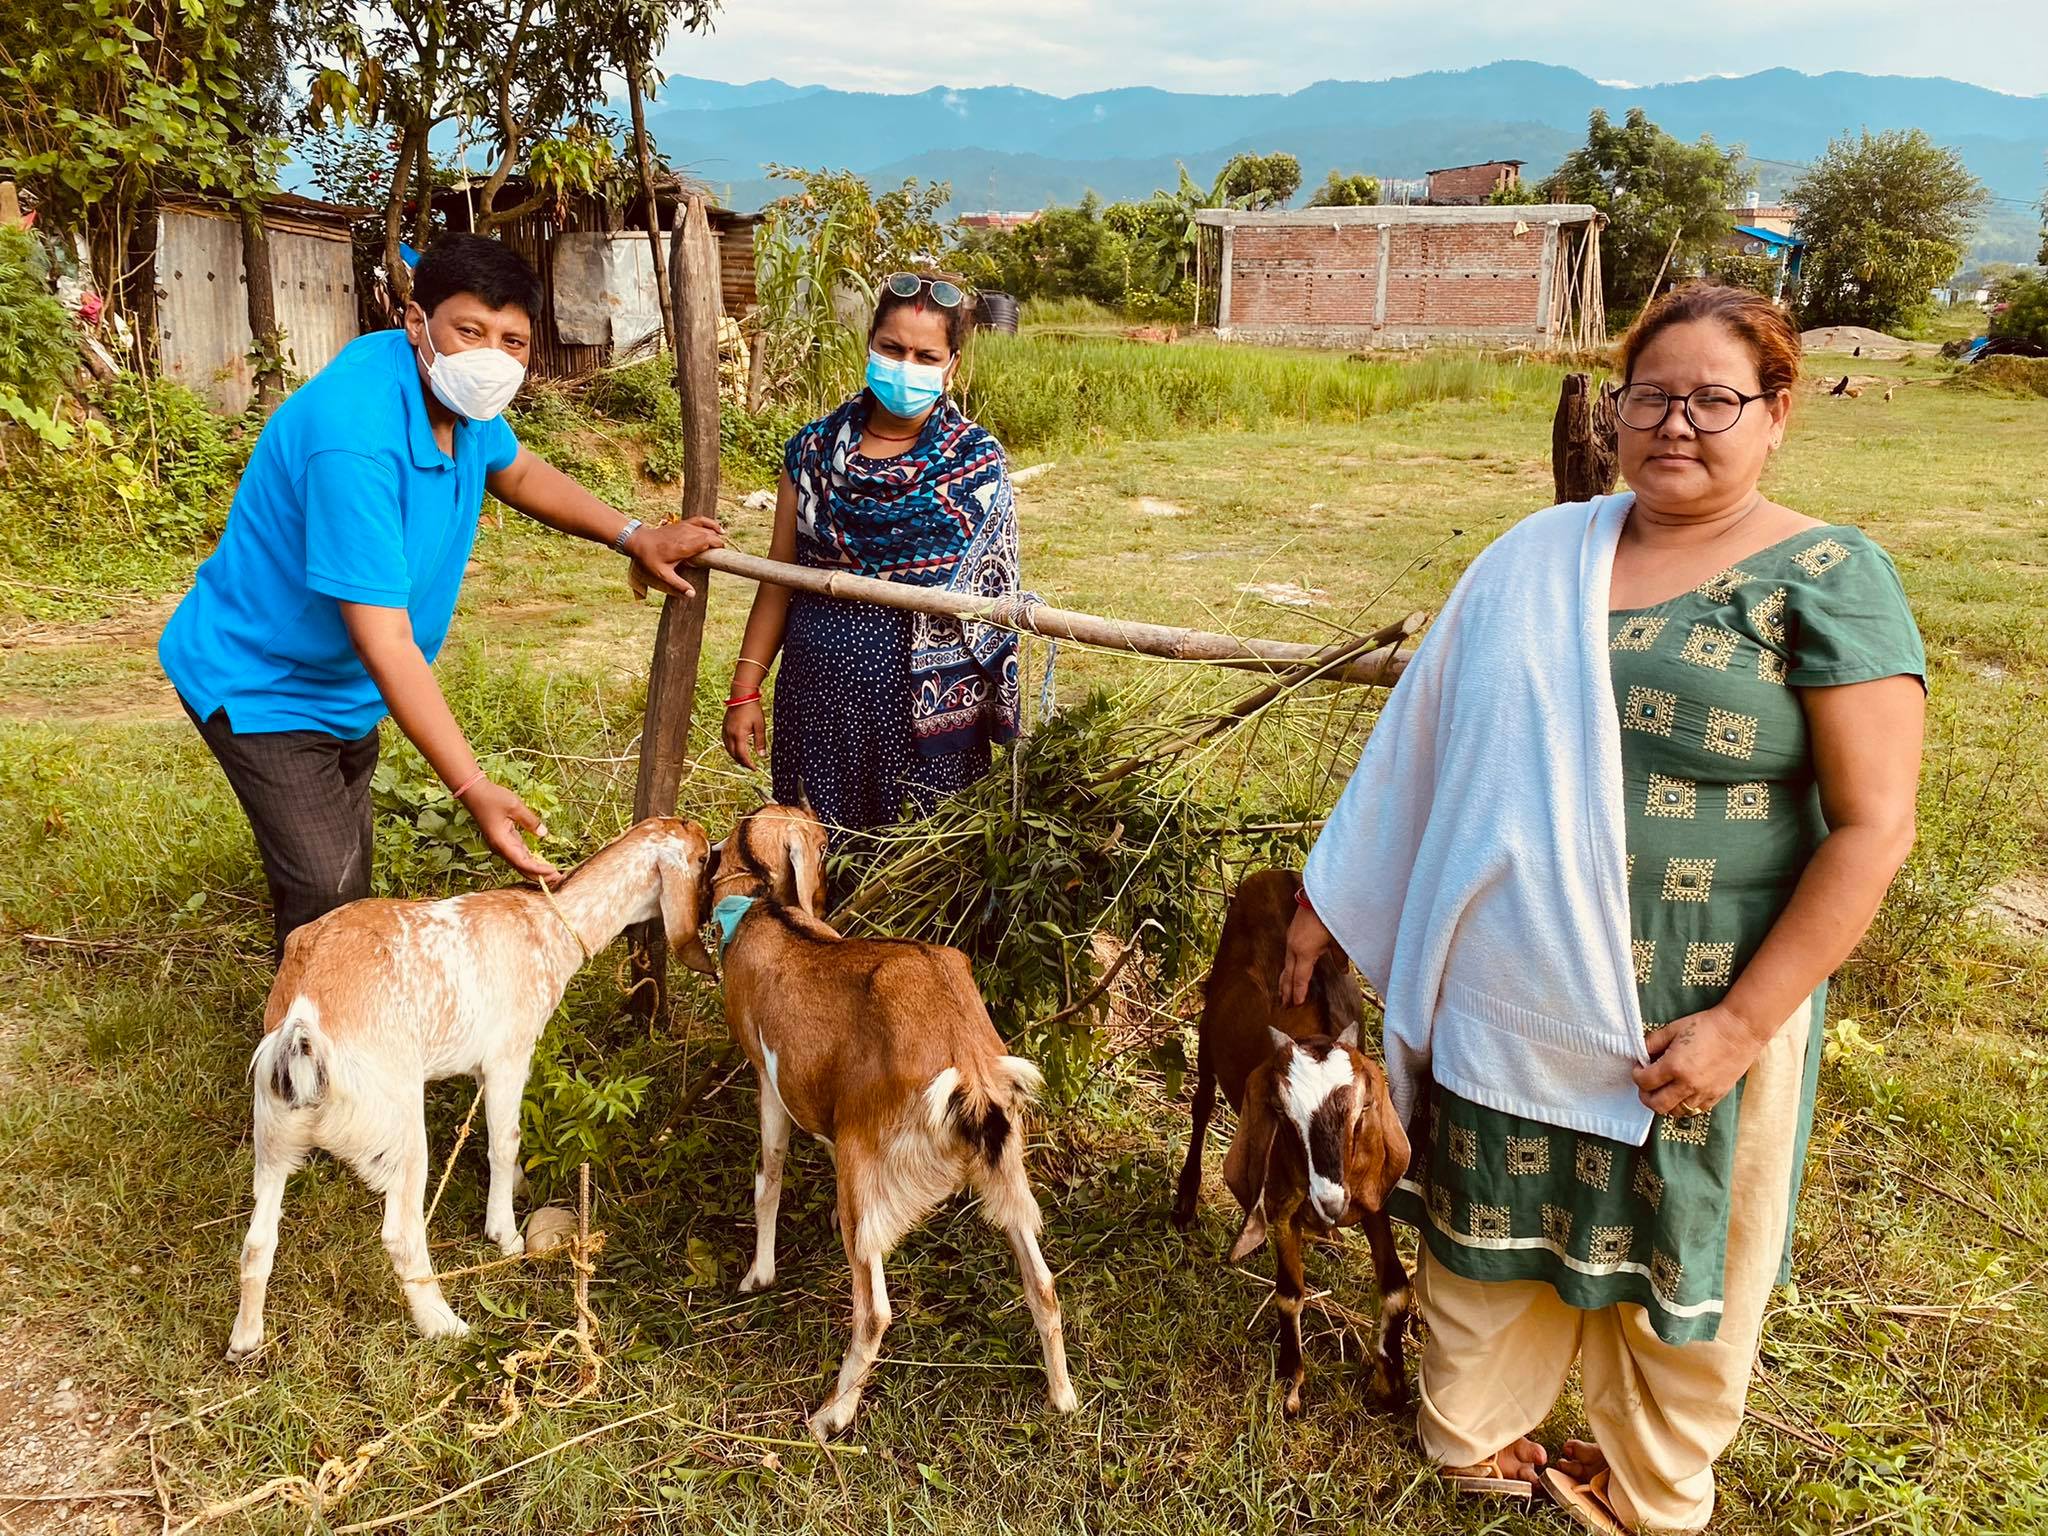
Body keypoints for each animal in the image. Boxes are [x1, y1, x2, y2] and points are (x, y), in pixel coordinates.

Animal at [225, 819, 716, 1359]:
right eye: (702, 857)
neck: (548, 923)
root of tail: (304, 1020)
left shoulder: (482, 1066)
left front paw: (519, 1186)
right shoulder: (508, 1056)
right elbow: (506, 1139)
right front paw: (505, 1234)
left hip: (274, 1132)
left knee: (257, 1241)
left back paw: (245, 1340)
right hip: (397, 1124)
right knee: (401, 1234)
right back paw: (445, 1324)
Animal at [712, 806, 1081, 1441]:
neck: (767, 912)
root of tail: (969, 1066)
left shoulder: (769, 1079)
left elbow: (768, 1178)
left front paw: (758, 1276)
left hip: (868, 1163)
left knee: (875, 1310)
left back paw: (830, 1417)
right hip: (1007, 1165)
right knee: (1044, 1283)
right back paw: (1063, 1397)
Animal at [1179, 868, 1417, 1417]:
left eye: (1362, 1112)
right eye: (1285, 1120)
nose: (1329, 1202)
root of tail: (1273, 874)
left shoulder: (1369, 1194)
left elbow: (1396, 1287)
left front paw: (1391, 1382)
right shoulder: (1281, 1203)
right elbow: (1290, 1293)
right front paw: (1290, 1381)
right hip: (1207, 1026)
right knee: (1201, 1104)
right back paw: (1185, 1198)